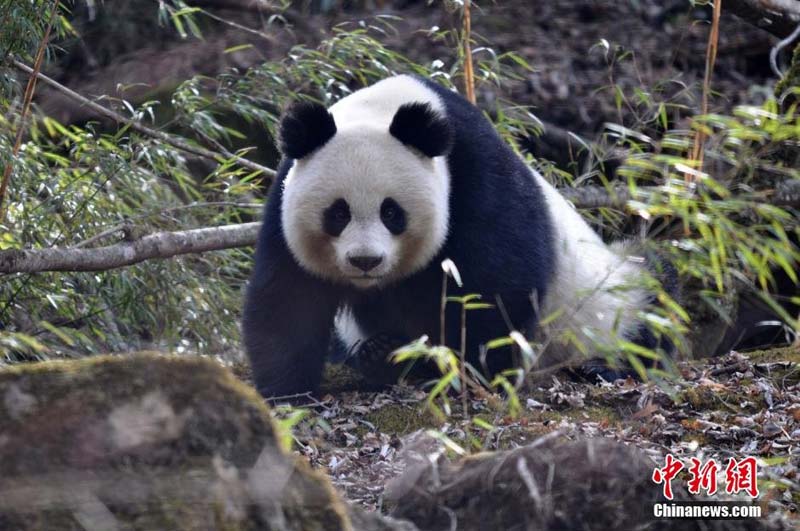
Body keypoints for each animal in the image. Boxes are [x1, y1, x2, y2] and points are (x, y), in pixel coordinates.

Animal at [242, 76, 668, 400]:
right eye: (338, 213)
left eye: (391, 212)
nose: (365, 261)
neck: (385, 109)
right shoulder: (284, 202)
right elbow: (288, 297)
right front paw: (287, 392)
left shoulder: (476, 180)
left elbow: (496, 287)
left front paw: (465, 371)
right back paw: (380, 352)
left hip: (612, 298)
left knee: (656, 298)